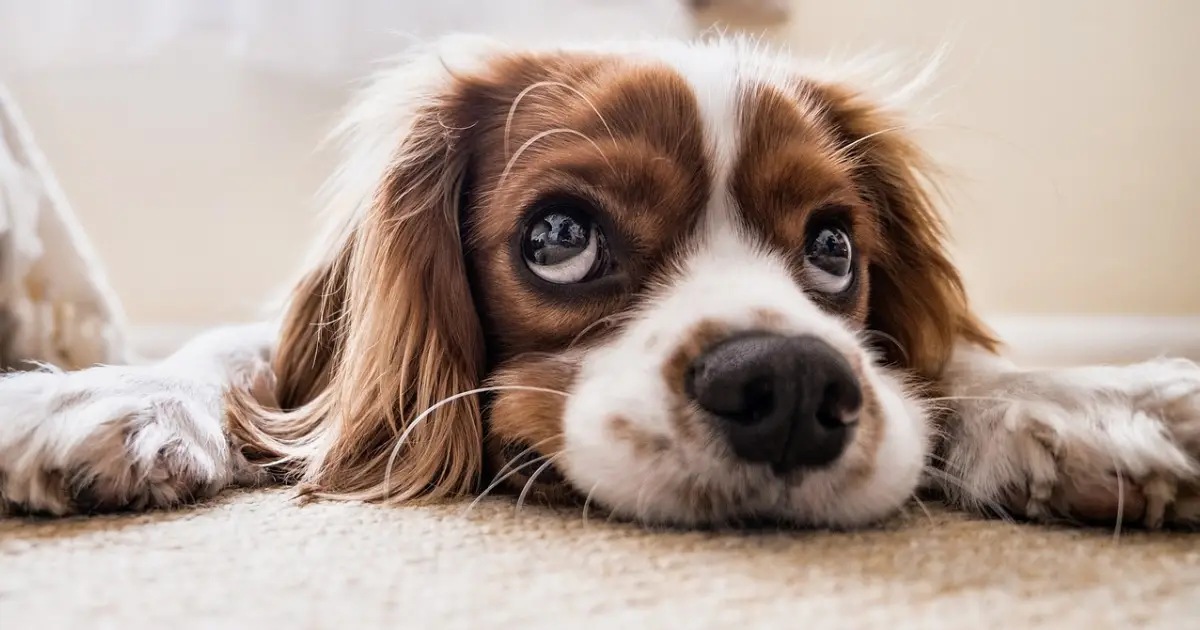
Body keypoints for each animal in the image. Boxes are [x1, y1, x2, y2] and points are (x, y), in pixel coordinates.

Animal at [2, 36, 1200, 528]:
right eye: (561, 236)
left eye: (833, 249)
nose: (791, 386)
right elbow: (237, 356)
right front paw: (106, 396)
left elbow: (951, 366)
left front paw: (1088, 403)